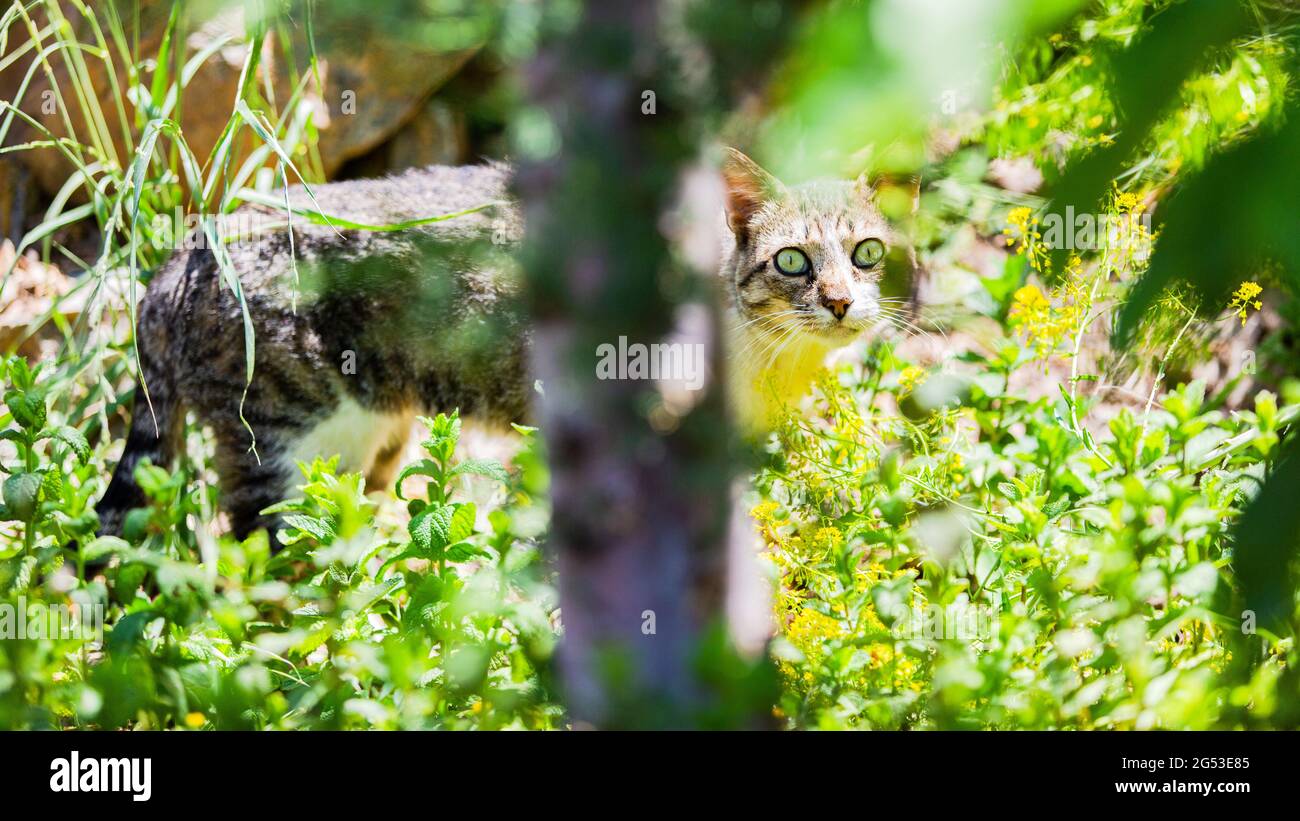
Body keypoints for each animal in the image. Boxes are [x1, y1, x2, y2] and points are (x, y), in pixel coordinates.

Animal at [98, 150, 915, 543]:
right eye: (792, 261)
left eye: (867, 253)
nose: (841, 301)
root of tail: (188, 246)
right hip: (277, 441)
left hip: (368, 438)